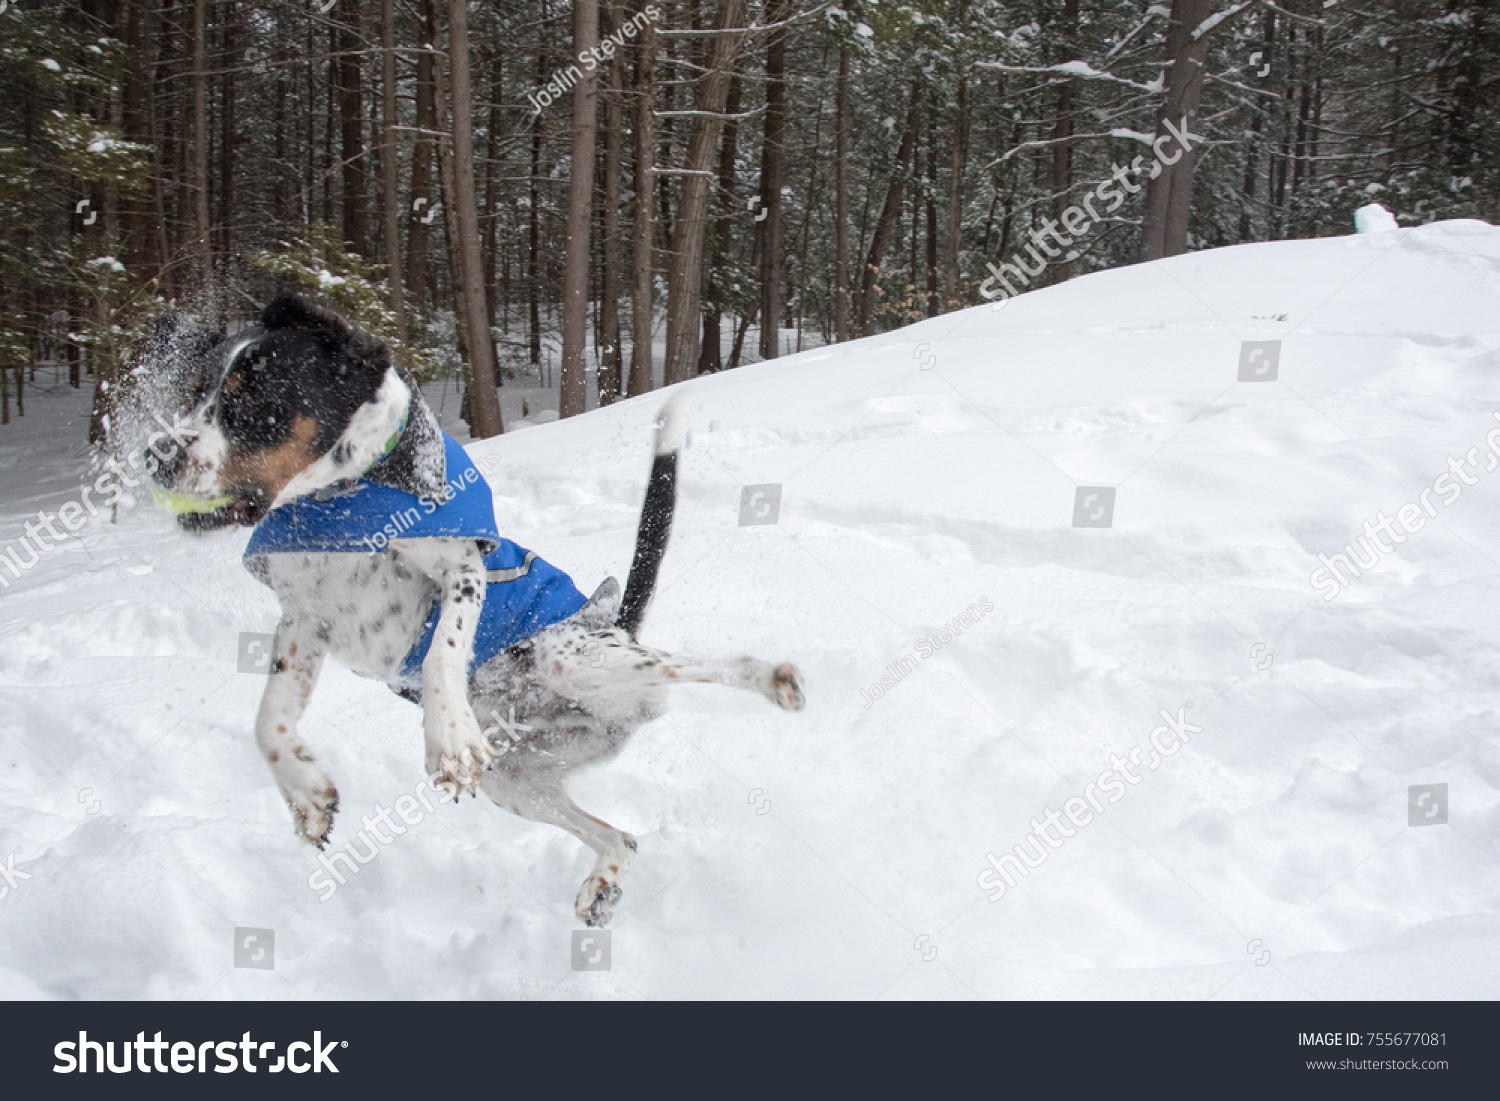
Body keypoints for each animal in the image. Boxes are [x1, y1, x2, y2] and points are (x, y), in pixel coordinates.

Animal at [149, 291, 810, 924]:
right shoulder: (304, 622)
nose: (157, 455)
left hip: (573, 659)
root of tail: (614, 622)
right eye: (197, 391)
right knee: (620, 839)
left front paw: (447, 737)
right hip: (516, 777)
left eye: (255, 394)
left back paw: (773, 678)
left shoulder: (462, 571)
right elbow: (269, 722)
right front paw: (306, 794)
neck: (338, 501)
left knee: (716, 664)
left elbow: (442, 654)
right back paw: (601, 884)